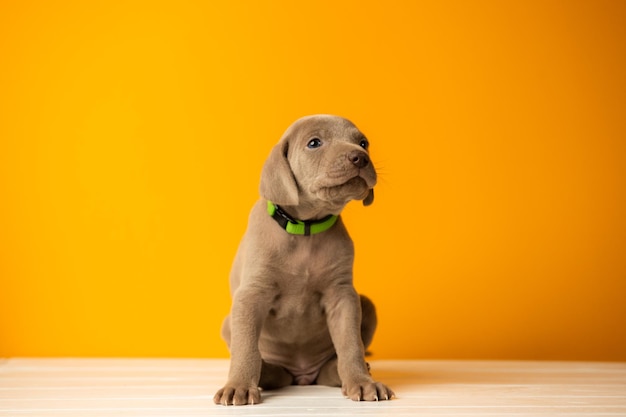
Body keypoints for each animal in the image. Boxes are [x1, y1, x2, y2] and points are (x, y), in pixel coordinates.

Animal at [212, 114, 392, 404]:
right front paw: (238, 386)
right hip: (229, 322)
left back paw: (345, 371)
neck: (306, 230)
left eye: (363, 143)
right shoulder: (251, 294)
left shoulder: (343, 296)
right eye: (314, 143)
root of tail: (303, 377)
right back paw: (264, 372)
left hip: (366, 305)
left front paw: (362, 383)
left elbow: (351, 344)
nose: (360, 158)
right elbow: (246, 348)